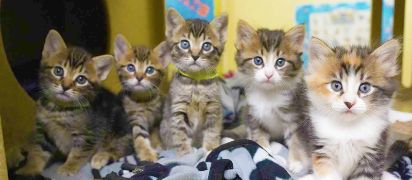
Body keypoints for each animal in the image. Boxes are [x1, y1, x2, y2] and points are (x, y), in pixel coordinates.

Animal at [15, 29, 132, 176]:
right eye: (58, 71)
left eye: (81, 79)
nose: (65, 87)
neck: (59, 110)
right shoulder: (43, 131)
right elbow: (38, 151)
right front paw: (28, 169)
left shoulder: (87, 134)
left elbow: (78, 153)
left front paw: (68, 167)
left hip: (120, 129)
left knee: (121, 149)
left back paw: (101, 156)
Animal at [159, 8, 229, 155]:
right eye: (185, 44)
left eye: (206, 46)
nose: (195, 56)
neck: (196, 84)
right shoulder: (178, 109)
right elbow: (180, 133)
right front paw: (185, 153)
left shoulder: (213, 108)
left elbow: (212, 131)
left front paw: (210, 149)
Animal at [233, 19, 304, 150]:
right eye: (258, 60)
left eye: (280, 62)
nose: (268, 75)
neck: (268, 94)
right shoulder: (254, 115)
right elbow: (258, 135)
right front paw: (265, 149)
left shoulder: (294, 116)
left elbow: (296, 141)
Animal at [300, 37, 400, 179]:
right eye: (336, 86)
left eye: (365, 88)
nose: (349, 103)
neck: (347, 129)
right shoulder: (322, 150)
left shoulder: (372, 154)